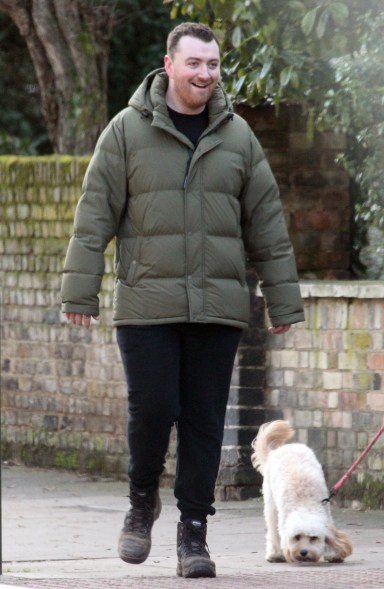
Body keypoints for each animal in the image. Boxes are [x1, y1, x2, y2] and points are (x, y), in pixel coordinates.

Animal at [250, 420, 352, 564]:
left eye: (313, 538)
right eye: (297, 537)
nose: (303, 552)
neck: (305, 503)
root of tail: (278, 450)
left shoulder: (327, 514)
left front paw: (333, 554)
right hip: (271, 504)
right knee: (272, 529)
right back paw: (274, 554)